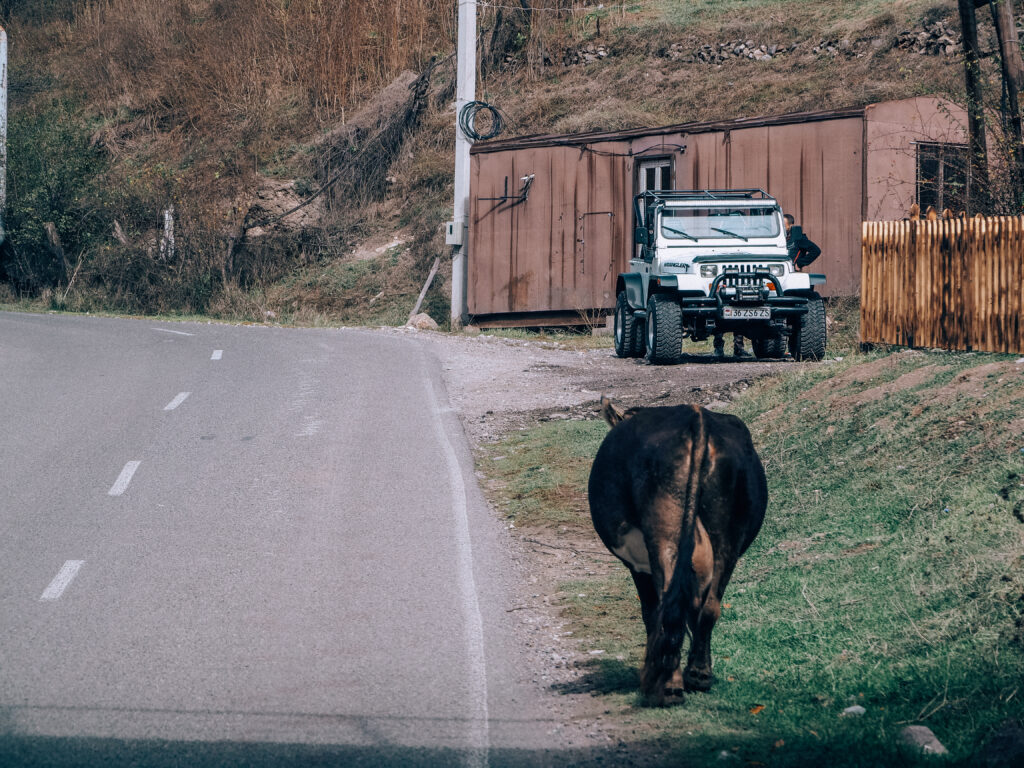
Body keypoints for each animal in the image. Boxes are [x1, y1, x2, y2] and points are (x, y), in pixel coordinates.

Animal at [589, 399, 765, 708]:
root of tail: (696, 417)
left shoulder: (638, 565)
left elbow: (650, 612)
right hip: (728, 532)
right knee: (708, 605)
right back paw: (698, 675)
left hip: (664, 530)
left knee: (668, 605)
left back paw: (666, 686)